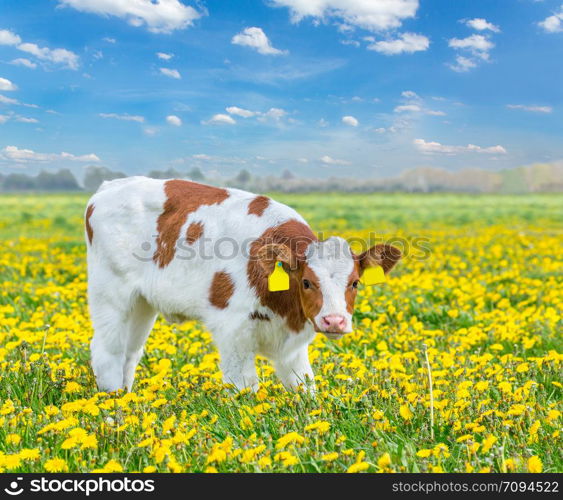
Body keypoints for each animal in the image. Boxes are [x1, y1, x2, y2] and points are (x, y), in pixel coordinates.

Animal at [85, 178, 400, 392]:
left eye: (355, 282)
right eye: (307, 282)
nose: (334, 321)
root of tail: (111, 186)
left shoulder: (293, 344)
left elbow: (304, 384)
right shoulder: (232, 330)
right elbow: (245, 388)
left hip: (141, 303)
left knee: (130, 352)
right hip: (110, 294)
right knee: (108, 351)